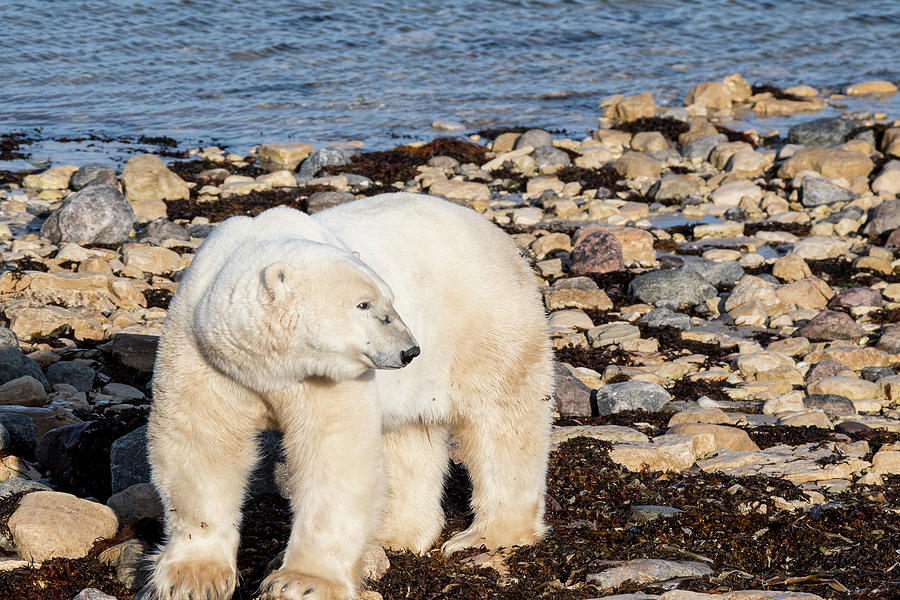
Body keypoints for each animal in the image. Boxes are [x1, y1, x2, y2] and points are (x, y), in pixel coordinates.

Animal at [147, 193, 552, 600]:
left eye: (390, 300)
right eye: (363, 304)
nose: (409, 350)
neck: (263, 364)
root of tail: (498, 234)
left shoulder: (325, 374)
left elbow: (334, 455)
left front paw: (301, 583)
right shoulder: (205, 356)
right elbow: (201, 446)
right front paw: (192, 578)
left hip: (485, 322)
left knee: (502, 419)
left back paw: (485, 536)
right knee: (407, 440)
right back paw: (394, 534)